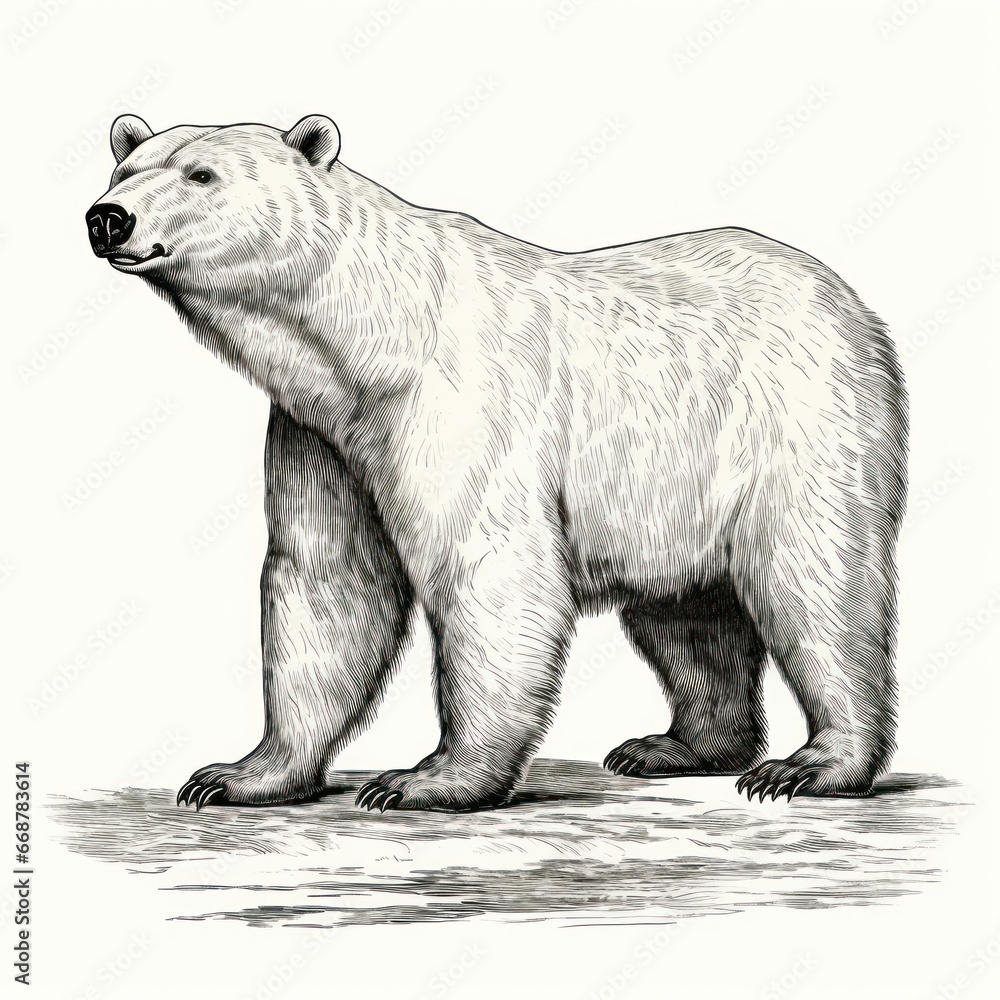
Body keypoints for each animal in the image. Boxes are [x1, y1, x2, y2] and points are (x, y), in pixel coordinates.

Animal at [87, 113, 907, 812]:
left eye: (201, 174)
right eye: (124, 167)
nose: (107, 217)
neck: (368, 340)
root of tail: (847, 300)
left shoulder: (456, 407)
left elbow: (485, 572)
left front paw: (427, 779)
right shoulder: (321, 434)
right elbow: (326, 583)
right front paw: (238, 774)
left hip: (793, 420)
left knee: (815, 581)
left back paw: (813, 764)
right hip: (671, 485)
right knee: (685, 612)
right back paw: (674, 746)